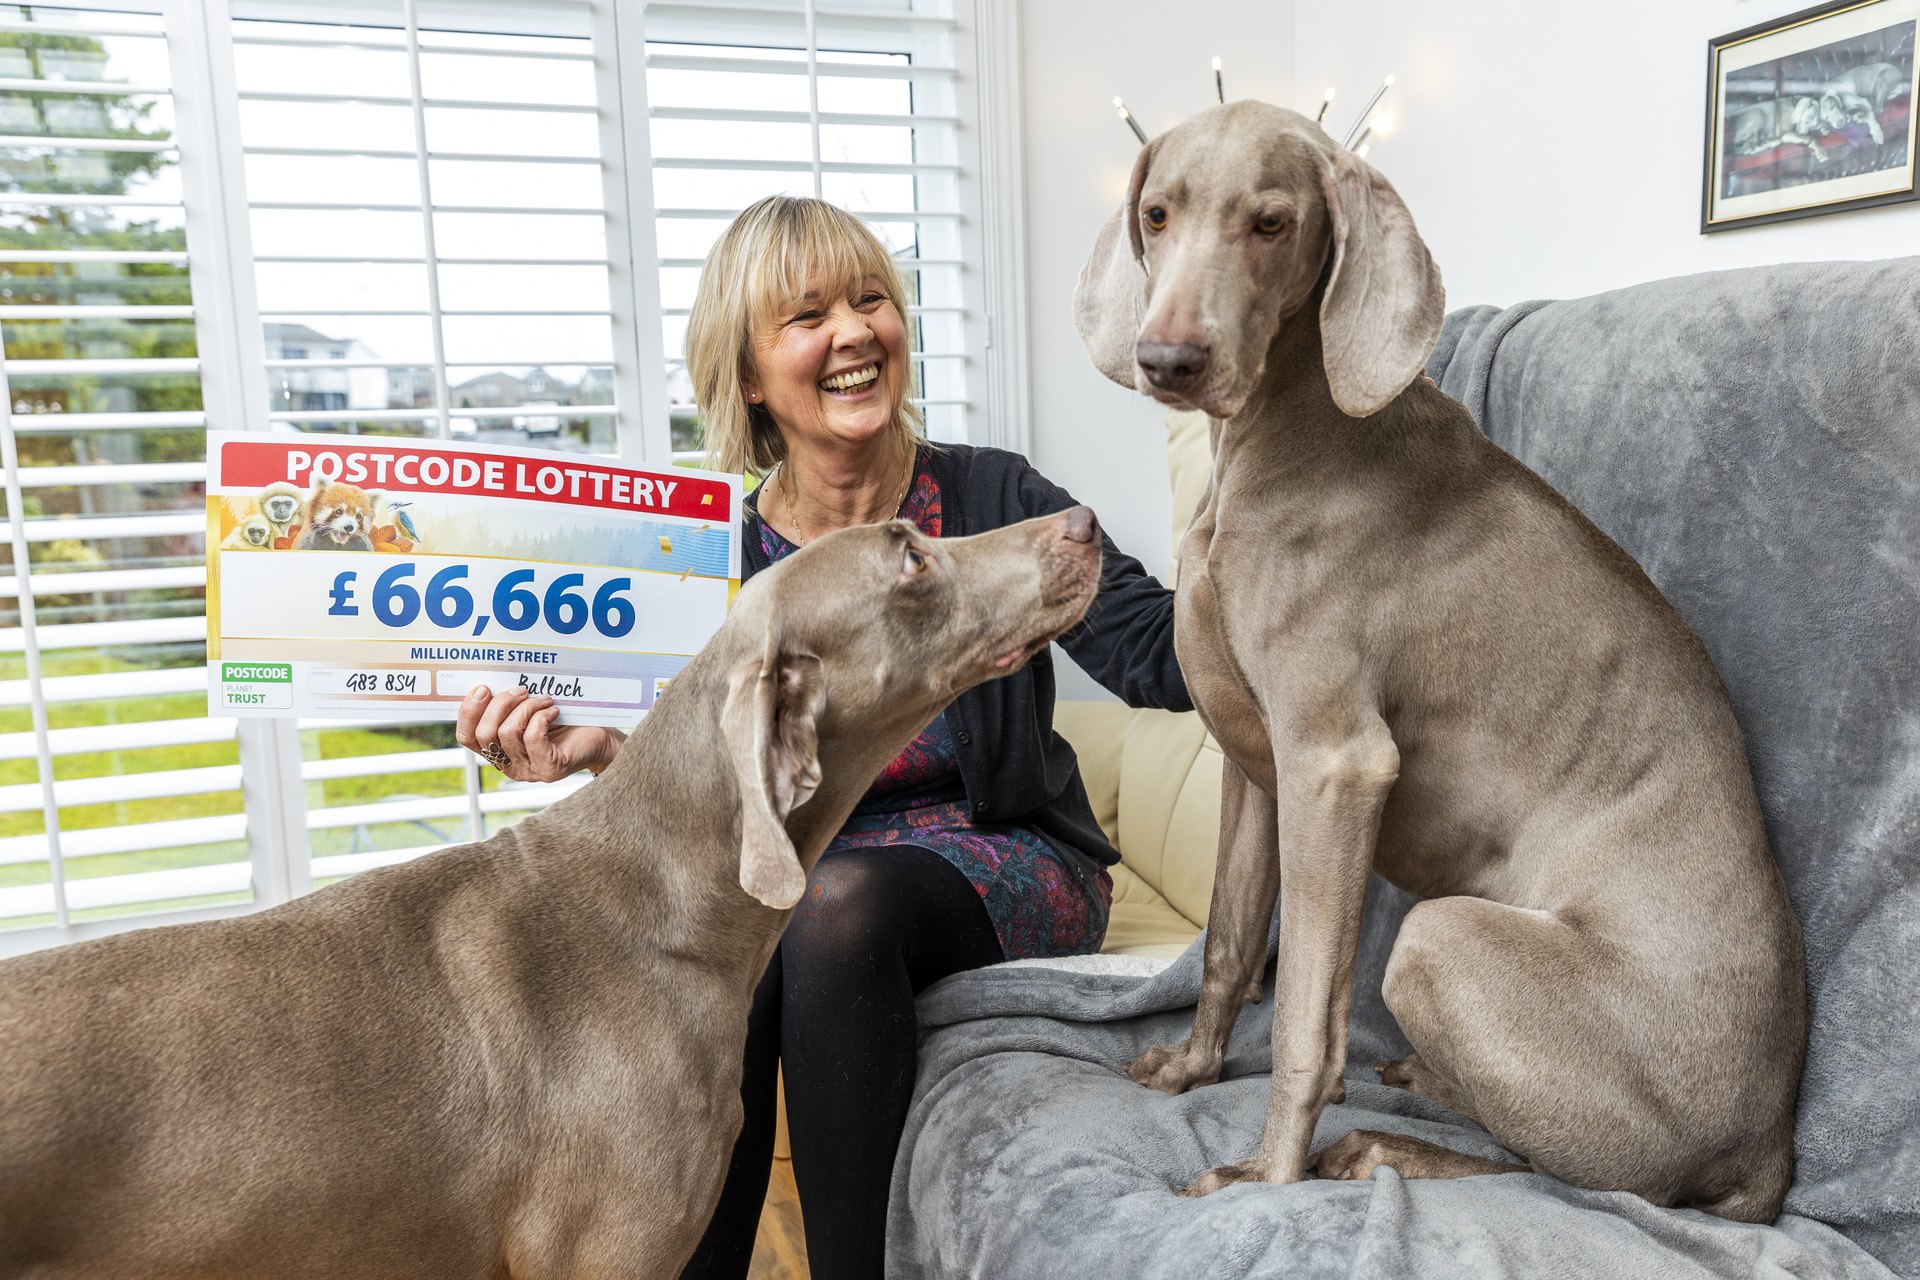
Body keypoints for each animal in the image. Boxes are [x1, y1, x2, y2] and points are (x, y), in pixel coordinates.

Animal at [1075, 105, 1804, 1228]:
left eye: (1272, 223)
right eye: (1156, 213)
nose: (1166, 359)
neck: (1284, 428)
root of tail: (1770, 1146)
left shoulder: (1335, 764)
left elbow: (1305, 1014)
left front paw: (1268, 1175)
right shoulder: (1256, 764)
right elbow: (1232, 945)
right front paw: (1193, 1069)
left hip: (1441, 938)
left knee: (1590, 1184)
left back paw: (1386, 1148)